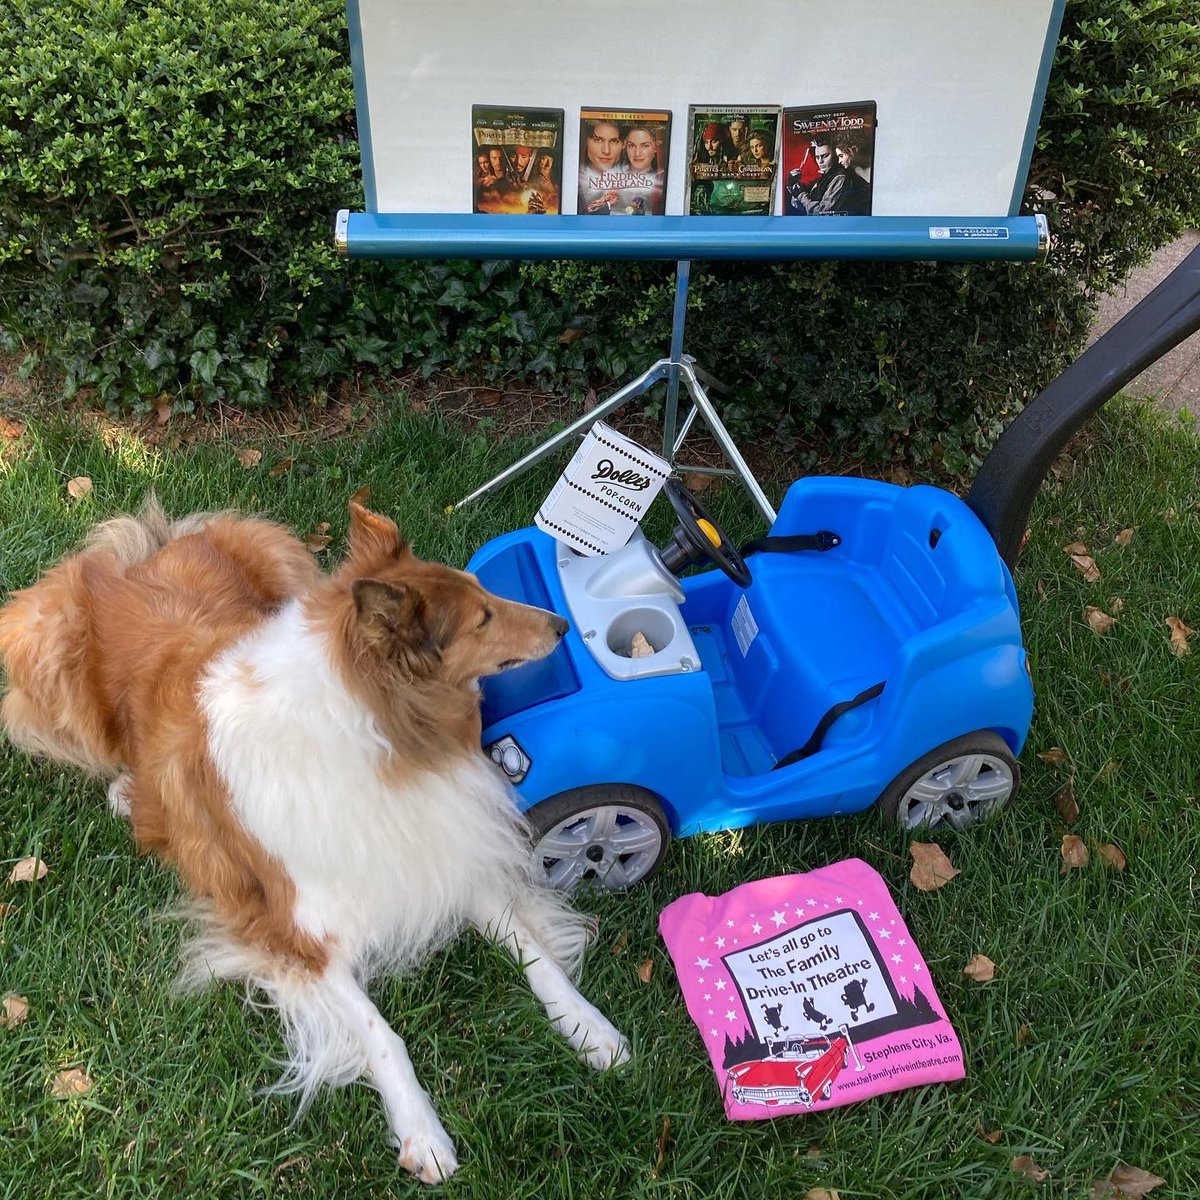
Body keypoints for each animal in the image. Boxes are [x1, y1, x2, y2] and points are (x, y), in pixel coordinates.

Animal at [0, 494, 633, 1180]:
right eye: (484, 618)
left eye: (484, 593)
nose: (562, 626)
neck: (381, 742)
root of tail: (133, 556)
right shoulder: (294, 935)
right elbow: (382, 1032)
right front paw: (422, 1132)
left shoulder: (440, 856)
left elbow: (533, 950)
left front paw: (590, 1029)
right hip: (45, 661)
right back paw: (125, 790)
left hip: (278, 554)